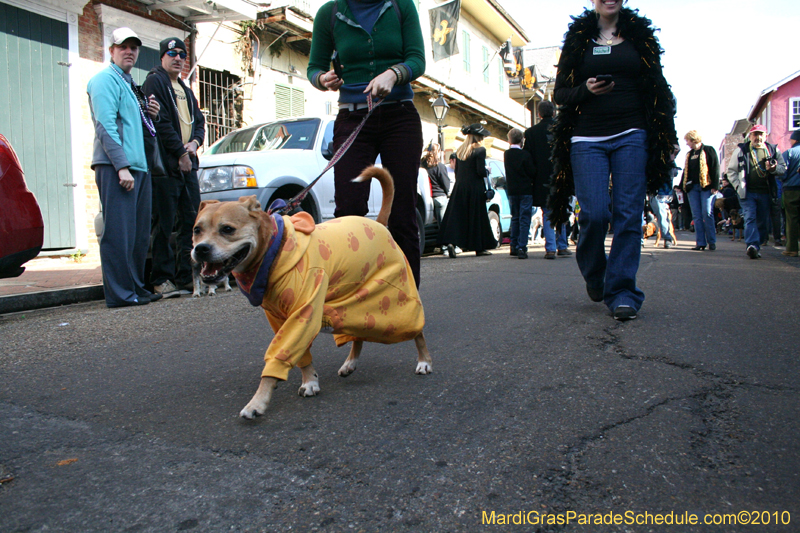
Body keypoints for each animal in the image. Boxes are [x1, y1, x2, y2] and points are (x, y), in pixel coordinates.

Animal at [191, 165, 432, 416]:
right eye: (197, 230)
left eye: (227, 229)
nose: (201, 249)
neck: (274, 250)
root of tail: (379, 224)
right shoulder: (283, 318)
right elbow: (300, 353)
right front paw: (310, 381)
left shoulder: (302, 313)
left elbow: (281, 353)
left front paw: (257, 402)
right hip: (354, 305)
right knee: (359, 334)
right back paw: (350, 363)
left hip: (396, 299)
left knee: (417, 330)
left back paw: (424, 361)